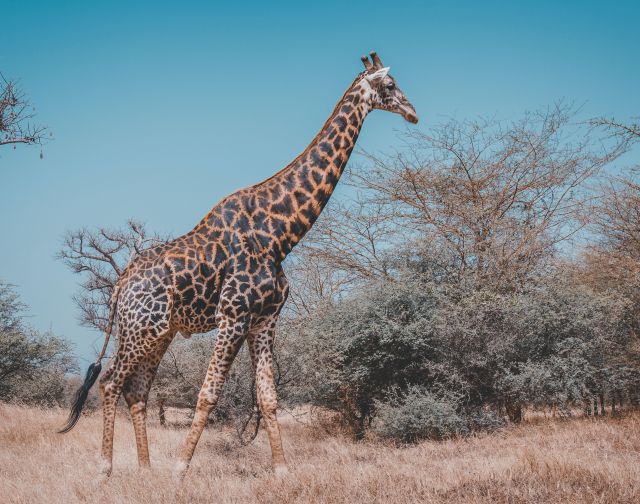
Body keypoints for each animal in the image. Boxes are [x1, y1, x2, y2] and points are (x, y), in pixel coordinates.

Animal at [60, 52, 420, 480]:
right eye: (390, 85)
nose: (413, 112)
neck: (280, 234)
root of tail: (120, 284)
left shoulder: (265, 319)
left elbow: (267, 396)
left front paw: (281, 471)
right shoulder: (233, 315)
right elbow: (208, 394)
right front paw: (180, 469)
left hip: (159, 332)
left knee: (137, 389)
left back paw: (146, 469)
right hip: (140, 329)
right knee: (111, 381)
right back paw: (105, 468)